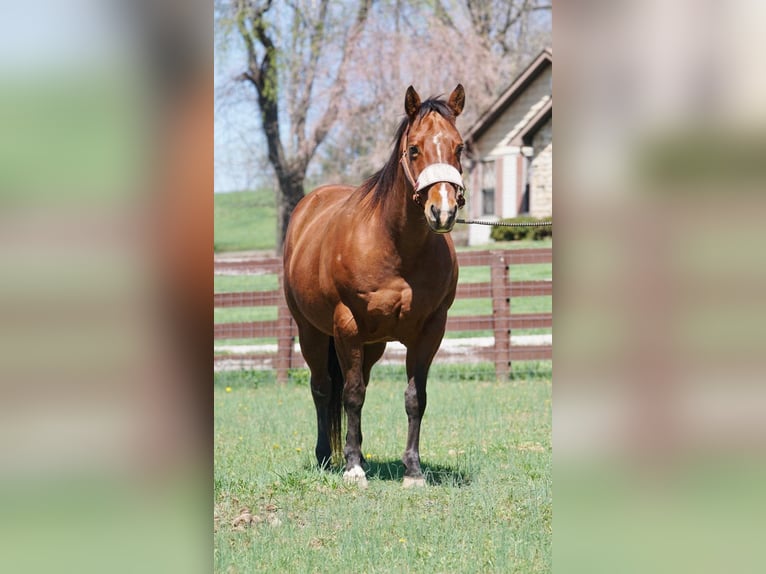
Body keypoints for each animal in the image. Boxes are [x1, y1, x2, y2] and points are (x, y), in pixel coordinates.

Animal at [283, 84, 466, 488]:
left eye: (459, 148)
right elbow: (351, 395)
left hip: (373, 344)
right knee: (323, 388)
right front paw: (353, 468)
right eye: (414, 149)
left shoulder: (431, 329)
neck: (395, 246)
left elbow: (415, 397)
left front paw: (413, 470)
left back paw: (362, 454)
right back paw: (328, 456)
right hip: (313, 332)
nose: (442, 211)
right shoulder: (347, 325)